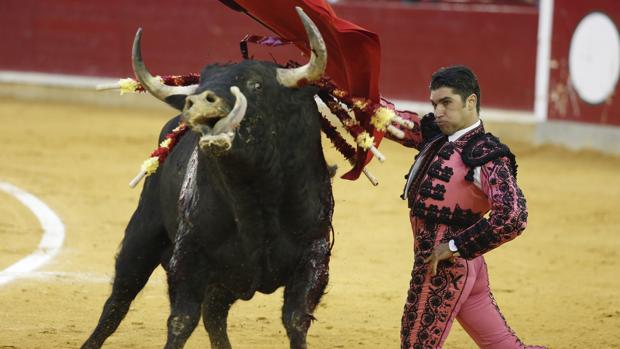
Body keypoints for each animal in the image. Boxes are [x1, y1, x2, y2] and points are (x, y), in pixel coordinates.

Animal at [81, 7, 336, 348]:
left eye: (257, 85)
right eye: (202, 81)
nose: (200, 100)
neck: (255, 196)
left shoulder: (314, 258)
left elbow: (296, 319)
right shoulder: (189, 260)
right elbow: (180, 321)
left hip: (227, 279)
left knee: (214, 313)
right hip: (142, 236)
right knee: (117, 301)